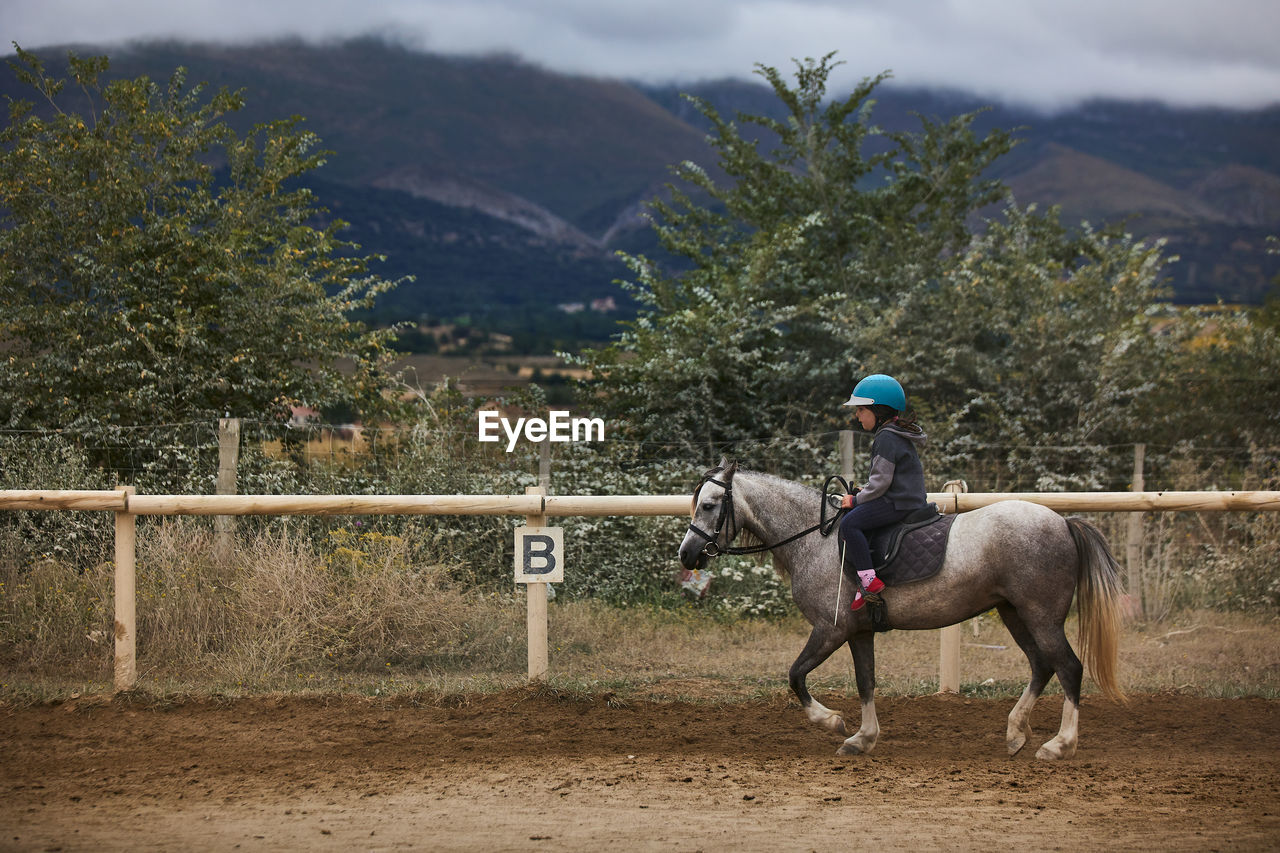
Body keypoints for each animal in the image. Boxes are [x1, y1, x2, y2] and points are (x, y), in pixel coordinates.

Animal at [675, 458, 1126, 758]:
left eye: (709, 505)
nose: (687, 554)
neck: (817, 538)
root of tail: (1062, 521)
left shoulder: (830, 630)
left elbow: (795, 676)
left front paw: (832, 721)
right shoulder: (858, 633)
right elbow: (865, 682)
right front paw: (862, 738)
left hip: (1041, 615)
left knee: (1068, 667)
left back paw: (1059, 745)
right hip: (1015, 613)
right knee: (1041, 665)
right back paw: (1016, 733)